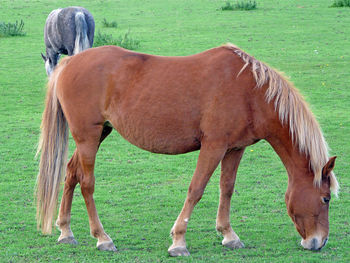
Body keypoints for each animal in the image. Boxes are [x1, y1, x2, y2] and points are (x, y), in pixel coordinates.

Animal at [36, 44, 340, 256]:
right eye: (325, 199)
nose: (319, 242)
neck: (250, 92)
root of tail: (69, 62)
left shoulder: (235, 149)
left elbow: (226, 188)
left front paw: (229, 235)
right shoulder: (213, 146)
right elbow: (196, 190)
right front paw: (179, 241)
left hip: (98, 134)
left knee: (71, 173)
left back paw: (66, 231)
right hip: (88, 137)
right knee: (86, 182)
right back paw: (102, 238)